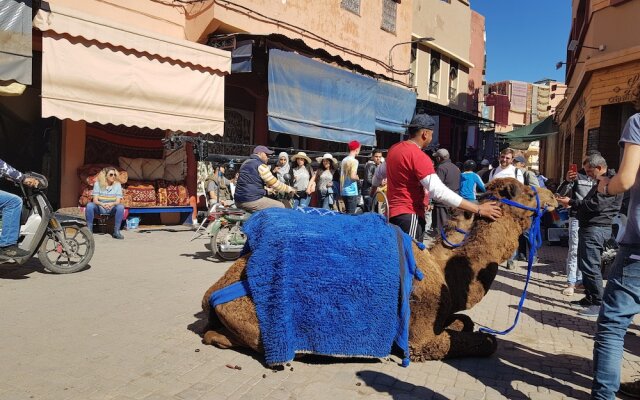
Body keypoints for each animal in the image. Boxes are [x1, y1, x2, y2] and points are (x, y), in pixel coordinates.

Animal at [199, 180, 556, 360]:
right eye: (528, 191)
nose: (556, 197)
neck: (442, 273)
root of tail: (211, 294)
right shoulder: (418, 335)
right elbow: (470, 342)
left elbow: (464, 322)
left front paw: (463, 323)